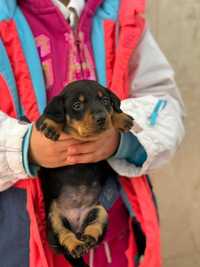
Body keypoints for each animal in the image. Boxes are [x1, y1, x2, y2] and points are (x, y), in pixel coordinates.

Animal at [36, 80, 134, 267]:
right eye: (77, 105)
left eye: (105, 101)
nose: (101, 118)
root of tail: (77, 227)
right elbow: (49, 117)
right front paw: (51, 125)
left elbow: (113, 112)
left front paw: (122, 118)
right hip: (54, 219)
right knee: (65, 235)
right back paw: (76, 245)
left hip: (99, 210)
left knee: (94, 227)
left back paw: (88, 238)